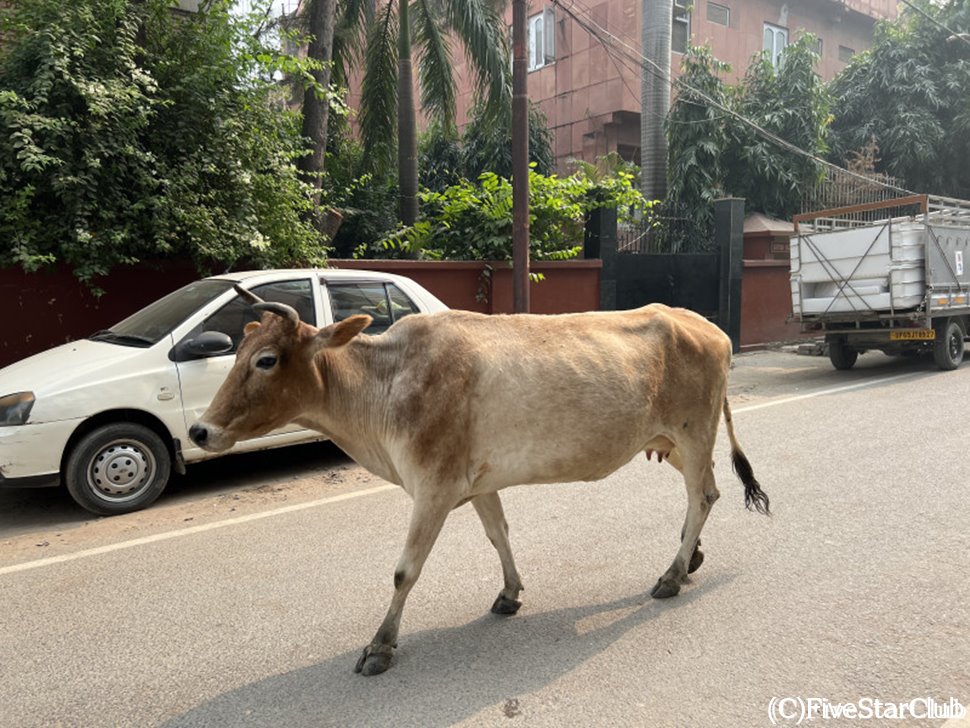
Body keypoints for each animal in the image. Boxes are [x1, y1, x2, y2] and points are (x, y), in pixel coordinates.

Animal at [187, 288, 764, 676]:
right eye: (239, 355)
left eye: (266, 360)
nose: (199, 430)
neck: (386, 381)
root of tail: (708, 327)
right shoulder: (479, 482)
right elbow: (498, 535)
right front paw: (509, 593)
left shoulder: (434, 487)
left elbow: (404, 571)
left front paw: (380, 646)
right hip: (673, 444)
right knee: (705, 494)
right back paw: (691, 557)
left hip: (694, 434)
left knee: (703, 495)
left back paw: (672, 574)